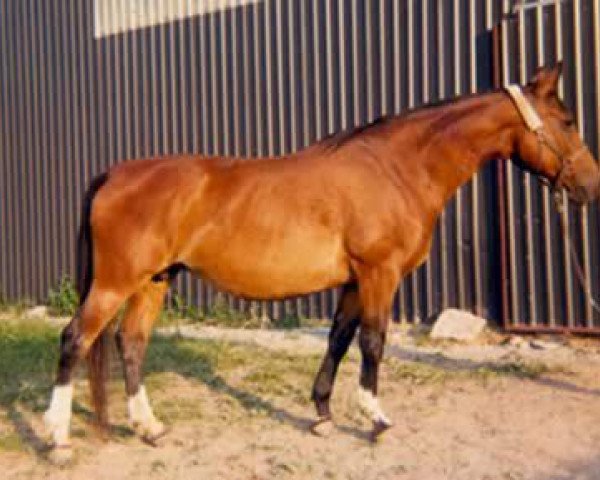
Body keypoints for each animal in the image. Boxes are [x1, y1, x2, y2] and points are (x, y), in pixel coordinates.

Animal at [45, 62, 600, 458]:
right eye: (568, 121)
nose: (590, 186)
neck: (397, 168)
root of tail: (115, 174)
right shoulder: (379, 274)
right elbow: (374, 343)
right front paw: (376, 420)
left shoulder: (355, 280)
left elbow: (338, 339)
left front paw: (322, 415)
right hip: (115, 283)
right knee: (74, 340)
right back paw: (57, 438)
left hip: (153, 281)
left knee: (131, 343)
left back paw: (149, 428)